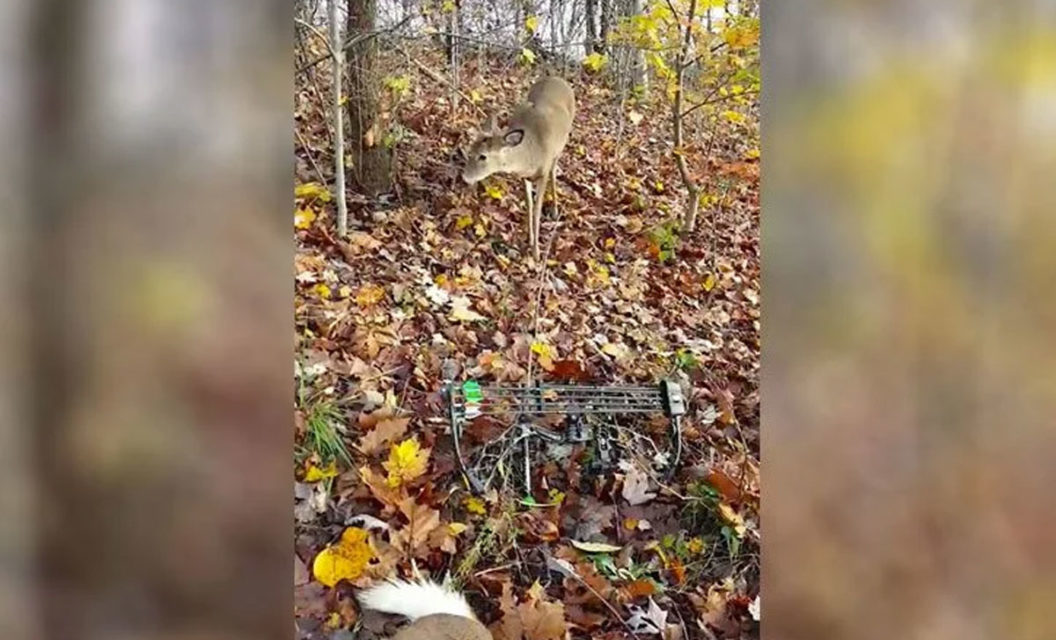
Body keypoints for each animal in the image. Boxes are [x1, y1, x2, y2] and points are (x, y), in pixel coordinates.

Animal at [462, 76, 578, 261]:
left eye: (483, 156)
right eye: (470, 149)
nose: (465, 177)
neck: (531, 152)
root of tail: (557, 78)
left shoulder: (542, 174)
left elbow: (537, 211)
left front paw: (536, 253)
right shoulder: (524, 177)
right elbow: (529, 206)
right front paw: (528, 241)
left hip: (560, 149)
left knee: (555, 171)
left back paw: (554, 210)